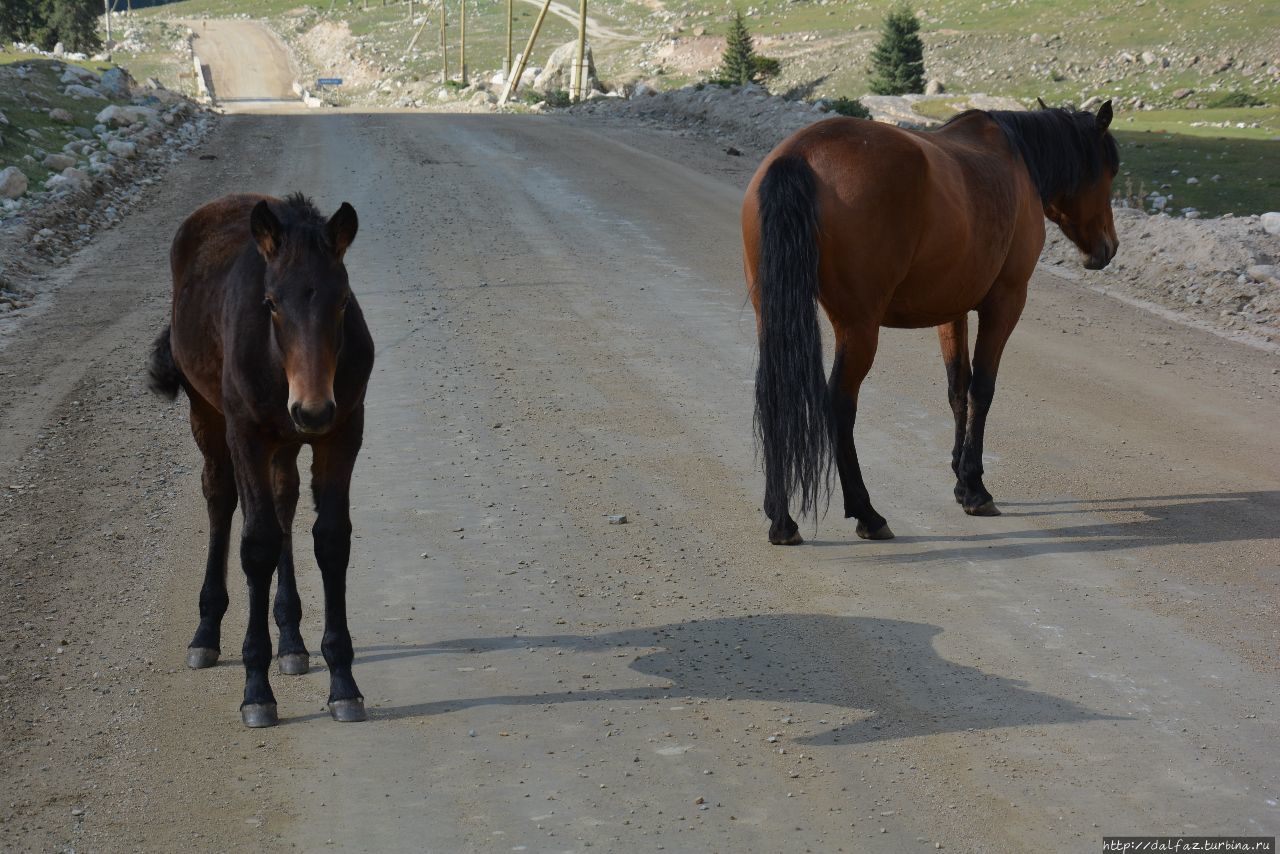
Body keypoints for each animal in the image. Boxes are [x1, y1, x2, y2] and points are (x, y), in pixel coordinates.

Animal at [148, 193, 373, 727]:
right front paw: (256, 691)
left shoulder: (343, 431)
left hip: (286, 440)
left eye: (342, 301)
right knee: (220, 495)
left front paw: (343, 683)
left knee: (284, 499)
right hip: (207, 412)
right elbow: (256, 545)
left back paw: (291, 640)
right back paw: (206, 633)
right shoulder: (246, 434)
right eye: (270, 303)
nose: (312, 409)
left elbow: (330, 539)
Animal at [747, 100, 1116, 545]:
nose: (1108, 248)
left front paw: (959, 476)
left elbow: (957, 387)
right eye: (1109, 170)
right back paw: (866, 513)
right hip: (859, 328)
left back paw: (779, 516)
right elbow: (981, 390)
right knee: (839, 404)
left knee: (774, 392)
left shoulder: (952, 310)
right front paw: (975, 488)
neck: (1016, 157)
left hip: (772, 315)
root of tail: (800, 155)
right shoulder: (1005, 302)